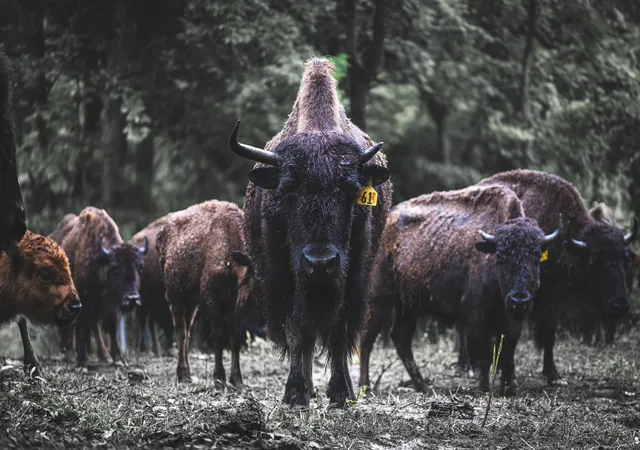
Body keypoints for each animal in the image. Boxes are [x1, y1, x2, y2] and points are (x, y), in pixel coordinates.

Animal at [229, 57, 391, 406]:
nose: (320, 262)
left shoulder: (352, 278)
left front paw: (341, 393)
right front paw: (295, 393)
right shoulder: (281, 278)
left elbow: (339, 332)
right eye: (287, 191)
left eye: (350, 191)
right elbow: (296, 330)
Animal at [358, 185, 562, 395]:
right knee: (367, 338)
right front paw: (484, 388)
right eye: (500, 255)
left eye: (536, 257)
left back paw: (423, 386)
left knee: (401, 338)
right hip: (379, 298)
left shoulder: (512, 319)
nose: (519, 300)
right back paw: (365, 386)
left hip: (408, 305)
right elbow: (485, 353)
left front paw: (508, 388)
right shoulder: (477, 315)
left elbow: (508, 350)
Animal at [478, 170, 637, 384]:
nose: (619, 304)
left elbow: (549, 333)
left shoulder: (554, 297)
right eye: (594, 261)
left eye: (625, 259)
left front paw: (552, 374)